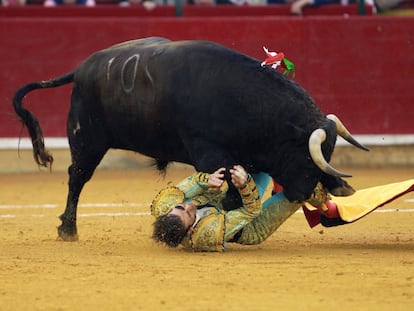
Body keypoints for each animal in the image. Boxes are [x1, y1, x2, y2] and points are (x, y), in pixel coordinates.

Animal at [13, 36, 368, 241]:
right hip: (87, 140)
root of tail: (82, 68)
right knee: (77, 177)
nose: (304, 195)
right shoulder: (209, 154)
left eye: (326, 156)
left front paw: (342, 186)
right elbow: (229, 195)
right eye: (304, 156)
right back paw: (68, 229)